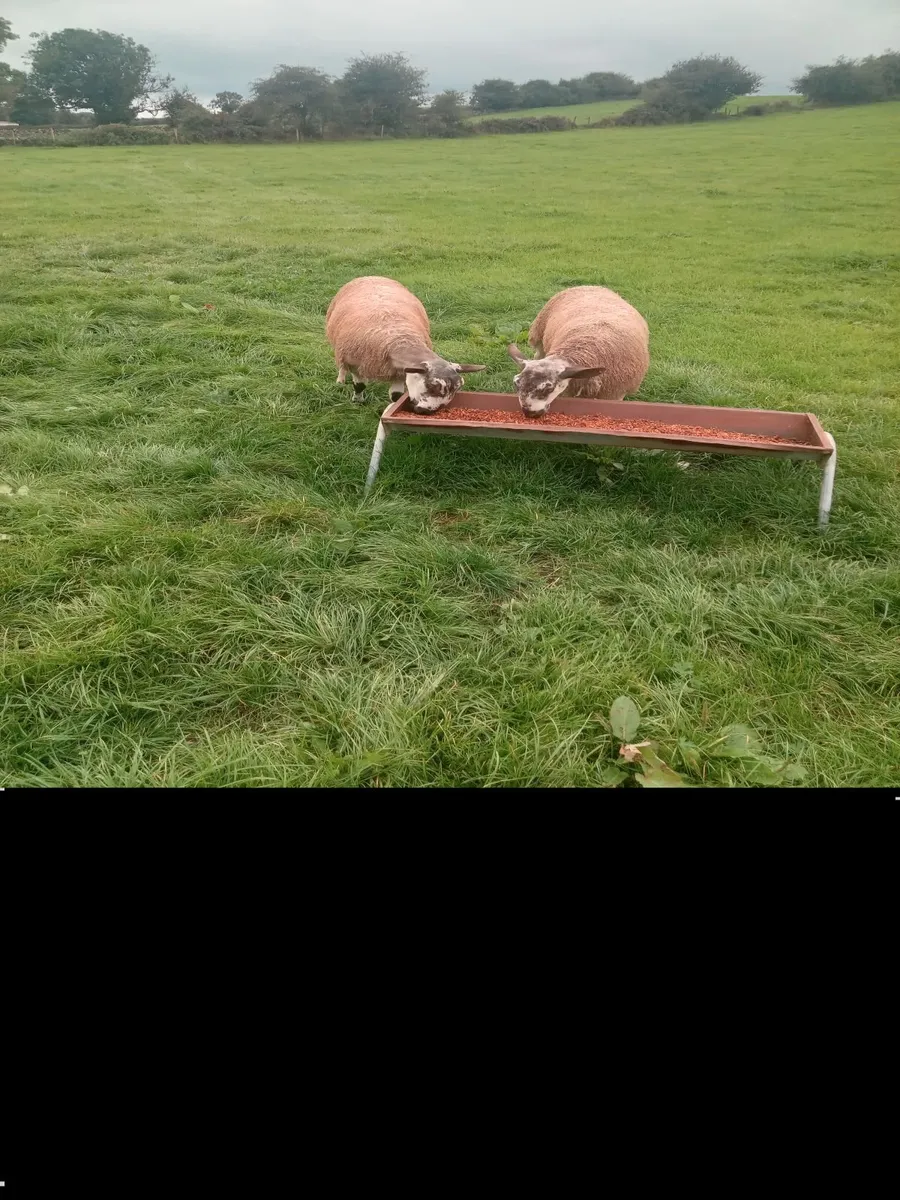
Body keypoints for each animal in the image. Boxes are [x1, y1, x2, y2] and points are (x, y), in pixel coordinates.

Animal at [325, 276, 485, 413]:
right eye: (431, 386)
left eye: (456, 391)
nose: (427, 412)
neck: (399, 339)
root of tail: (372, 276)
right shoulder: (355, 364)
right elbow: (359, 385)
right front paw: (358, 402)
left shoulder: (398, 372)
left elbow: (396, 396)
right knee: (341, 366)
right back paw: (340, 380)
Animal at [507, 286, 649, 416]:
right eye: (516, 384)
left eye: (548, 388)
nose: (529, 413)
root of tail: (592, 286)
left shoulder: (615, 394)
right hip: (539, 335)